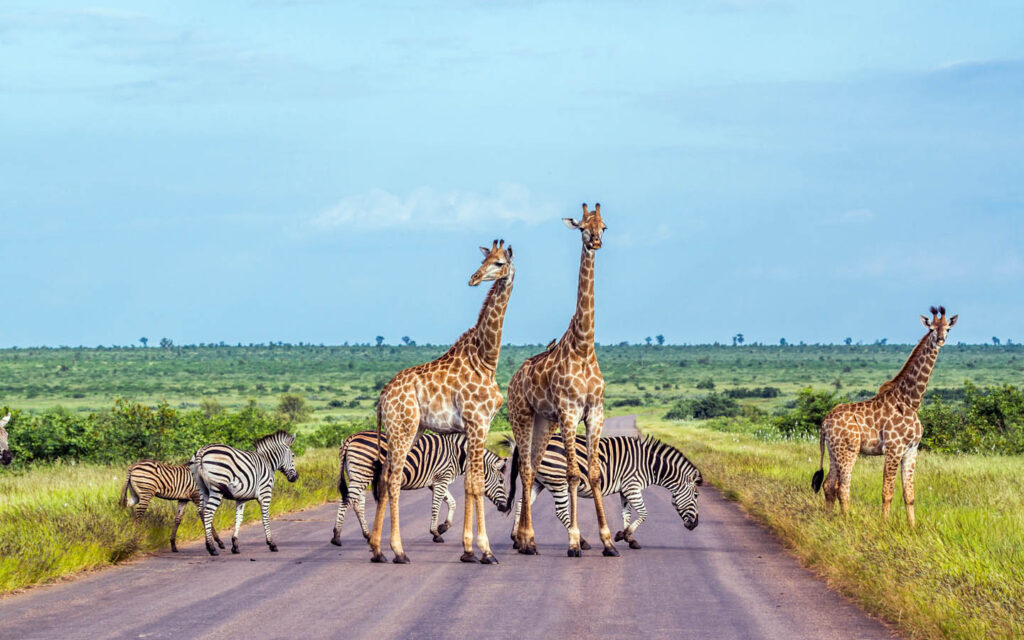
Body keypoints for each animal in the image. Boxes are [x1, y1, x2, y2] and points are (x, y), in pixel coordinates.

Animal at [331, 430, 507, 544]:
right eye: (501, 481)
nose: (505, 508)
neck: (457, 455)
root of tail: (351, 438)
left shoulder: (435, 482)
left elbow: (452, 502)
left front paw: (443, 527)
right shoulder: (441, 479)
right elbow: (436, 506)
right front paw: (436, 533)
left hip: (359, 475)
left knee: (357, 504)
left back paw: (367, 535)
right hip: (361, 473)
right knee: (346, 501)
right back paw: (336, 537)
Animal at [366, 238, 516, 557]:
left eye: (499, 263)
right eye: (485, 261)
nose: (474, 278)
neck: (486, 360)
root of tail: (383, 397)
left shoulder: (475, 427)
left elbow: (469, 483)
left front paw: (468, 550)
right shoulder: (479, 422)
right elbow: (475, 484)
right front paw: (483, 551)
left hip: (410, 430)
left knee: (384, 476)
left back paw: (377, 549)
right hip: (403, 428)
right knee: (393, 478)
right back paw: (398, 550)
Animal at [503, 201, 614, 557]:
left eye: (603, 226)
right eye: (582, 227)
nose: (595, 242)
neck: (583, 346)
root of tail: (513, 380)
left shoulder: (594, 412)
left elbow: (594, 473)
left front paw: (608, 541)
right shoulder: (569, 412)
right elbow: (573, 474)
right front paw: (575, 542)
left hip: (544, 421)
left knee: (533, 468)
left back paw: (527, 539)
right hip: (522, 416)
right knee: (526, 470)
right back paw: (527, 540)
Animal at [507, 434, 700, 548]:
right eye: (696, 495)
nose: (695, 525)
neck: (649, 465)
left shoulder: (625, 489)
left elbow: (626, 514)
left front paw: (627, 537)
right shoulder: (632, 486)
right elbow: (644, 513)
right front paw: (625, 535)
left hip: (538, 481)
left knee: (521, 503)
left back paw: (516, 538)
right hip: (557, 480)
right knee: (561, 512)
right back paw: (582, 541)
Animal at [811, 305, 954, 524]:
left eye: (947, 329)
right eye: (931, 329)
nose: (940, 339)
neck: (911, 401)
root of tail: (825, 422)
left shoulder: (912, 450)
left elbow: (909, 494)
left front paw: (912, 527)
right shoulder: (893, 449)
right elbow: (887, 492)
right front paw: (884, 525)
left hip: (834, 451)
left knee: (829, 485)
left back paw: (830, 519)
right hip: (848, 450)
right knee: (843, 487)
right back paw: (847, 520)